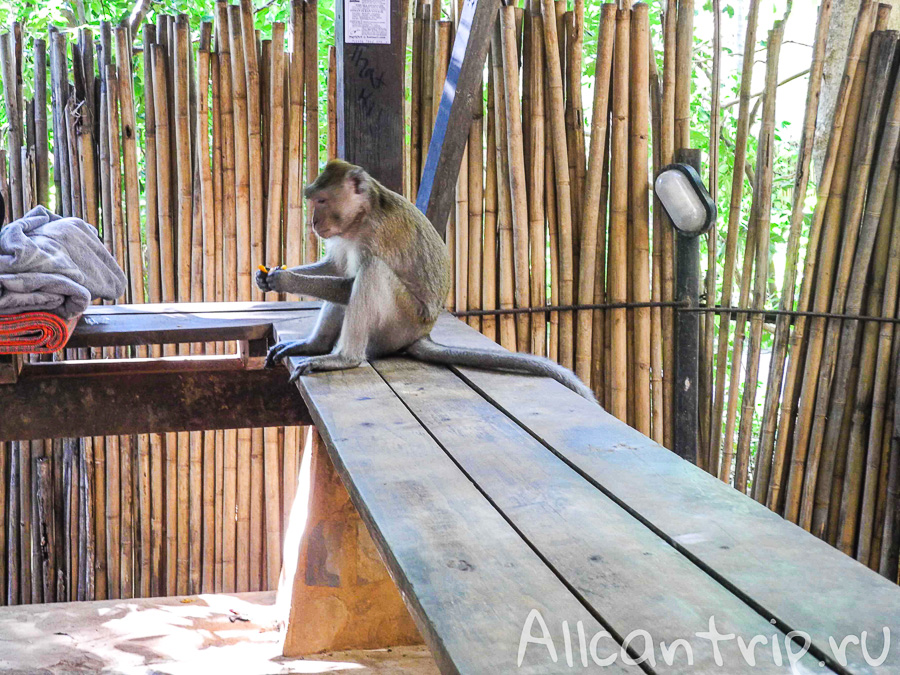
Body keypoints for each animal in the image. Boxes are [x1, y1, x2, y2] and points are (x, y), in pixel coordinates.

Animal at [258, 159, 595, 401]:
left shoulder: (377, 236)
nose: (314, 222)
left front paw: (286, 280)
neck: (361, 216)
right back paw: (315, 345)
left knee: (371, 274)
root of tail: (423, 333)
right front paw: (268, 277)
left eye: (322, 201)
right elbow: (337, 268)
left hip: (401, 322)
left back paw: (344, 358)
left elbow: (349, 281)